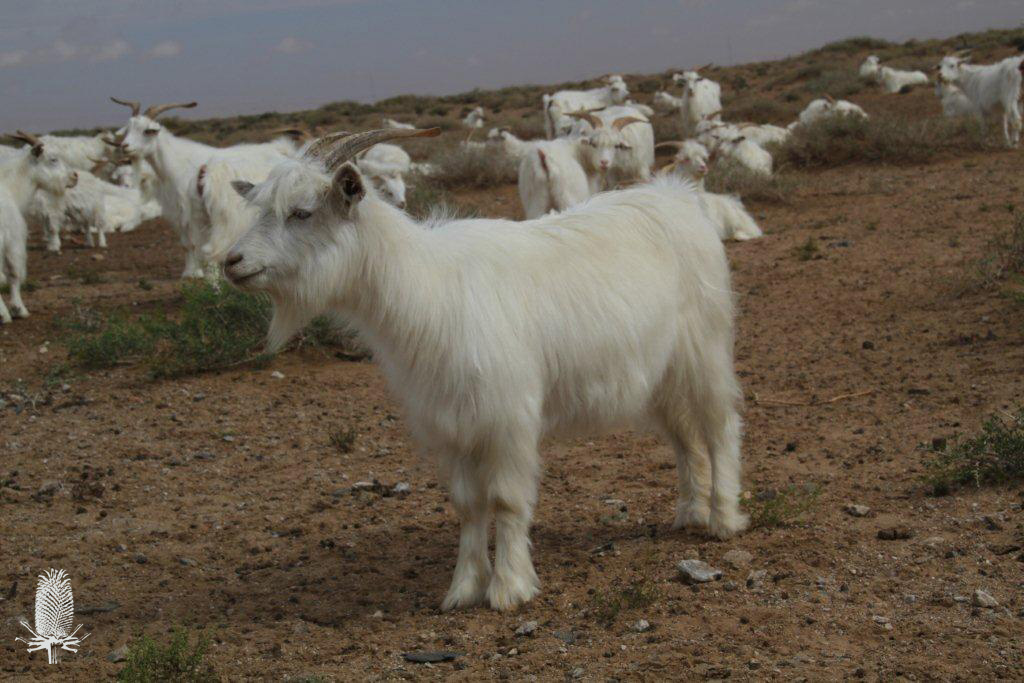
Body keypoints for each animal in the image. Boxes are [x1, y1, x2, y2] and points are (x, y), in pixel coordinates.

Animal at [223, 127, 747, 612]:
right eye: (260, 206)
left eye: (301, 212)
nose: (232, 261)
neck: (427, 287)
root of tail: (679, 198)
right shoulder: (451, 424)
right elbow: (468, 506)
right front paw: (463, 588)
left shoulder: (508, 419)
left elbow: (506, 500)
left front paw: (509, 588)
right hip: (660, 375)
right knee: (685, 438)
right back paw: (690, 512)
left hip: (705, 349)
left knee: (720, 427)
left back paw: (723, 520)